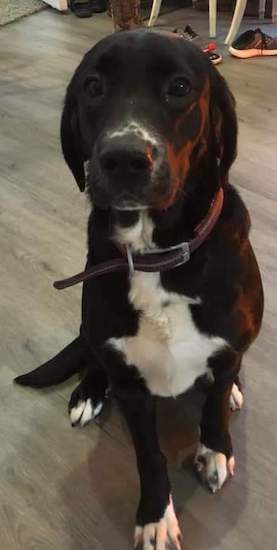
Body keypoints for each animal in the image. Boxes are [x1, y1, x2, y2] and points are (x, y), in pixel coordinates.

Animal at [15, 31, 264, 550]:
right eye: (92, 88)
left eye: (180, 86)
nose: (124, 159)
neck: (156, 255)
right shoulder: (131, 388)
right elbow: (148, 457)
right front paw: (154, 515)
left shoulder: (227, 347)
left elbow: (214, 408)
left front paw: (215, 448)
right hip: (93, 332)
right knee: (92, 356)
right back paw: (88, 392)